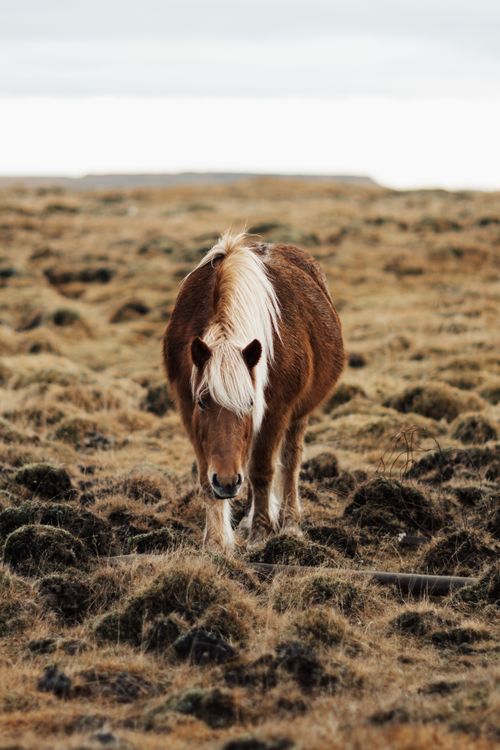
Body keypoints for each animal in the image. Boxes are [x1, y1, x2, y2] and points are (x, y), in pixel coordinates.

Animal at [163, 231, 344, 550]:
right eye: (202, 402)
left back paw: (289, 522)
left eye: (250, 402)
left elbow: (262, 471)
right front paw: (216, 542)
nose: (226, 482)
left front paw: (261, 532)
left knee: (290, 461)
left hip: (298, 416)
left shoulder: (275, 411)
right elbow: (204, 476)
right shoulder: (187, 409)